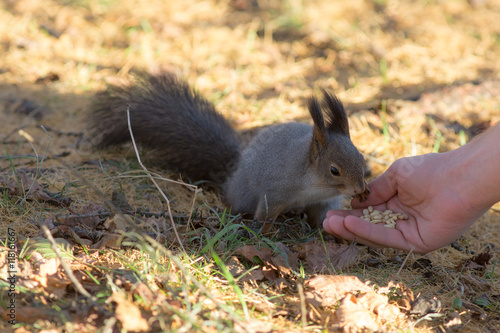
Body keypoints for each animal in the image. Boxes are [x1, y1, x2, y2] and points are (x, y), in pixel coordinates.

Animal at [88, 72, 370, 228]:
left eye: (361, 157)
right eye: (334, 170)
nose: (360, 189)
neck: (314, 182)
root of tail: (235, 168)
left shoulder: (323, 201)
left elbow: (320, 215)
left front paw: (322, 229)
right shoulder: (276, 190)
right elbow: (265, 214)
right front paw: (266, 231)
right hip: (243, 193)